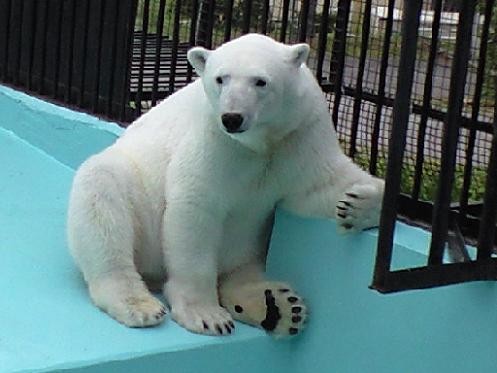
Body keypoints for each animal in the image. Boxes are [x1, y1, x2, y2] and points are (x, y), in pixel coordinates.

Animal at [67, 34, 384, 334]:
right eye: (221, 78)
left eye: (260, 81)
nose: (232, 117)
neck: (261, 142)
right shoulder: (216, 140)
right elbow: (196, 205)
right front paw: (207, 316)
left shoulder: (300, 134)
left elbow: (323, 187)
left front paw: (356, 206)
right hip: (139, 207)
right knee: (101, 194)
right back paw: (139, 305)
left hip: (248, 246)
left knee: (243, 270)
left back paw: (280, 307)